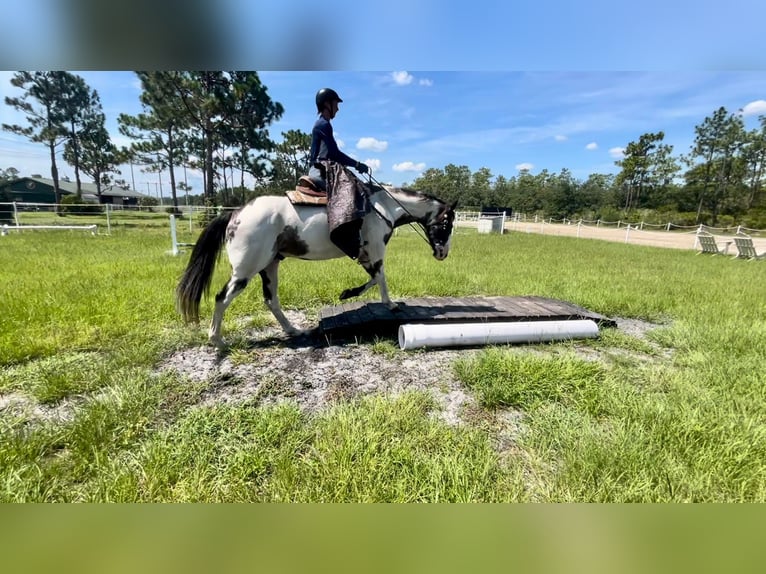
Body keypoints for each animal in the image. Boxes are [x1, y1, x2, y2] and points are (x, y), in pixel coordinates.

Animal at [177, 187, 460, 346]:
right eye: (447, 223)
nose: (443, 253)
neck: (382, 207)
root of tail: (235, 213)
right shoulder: (376, 249)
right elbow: (380, 277)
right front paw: (390, 305)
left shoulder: (366, 254)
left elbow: (372, 277)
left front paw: (348, 293)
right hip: (246, 270)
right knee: (221, 298)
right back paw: (217, 340)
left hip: (269, 265)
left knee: (271, 300)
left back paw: (293, 330)